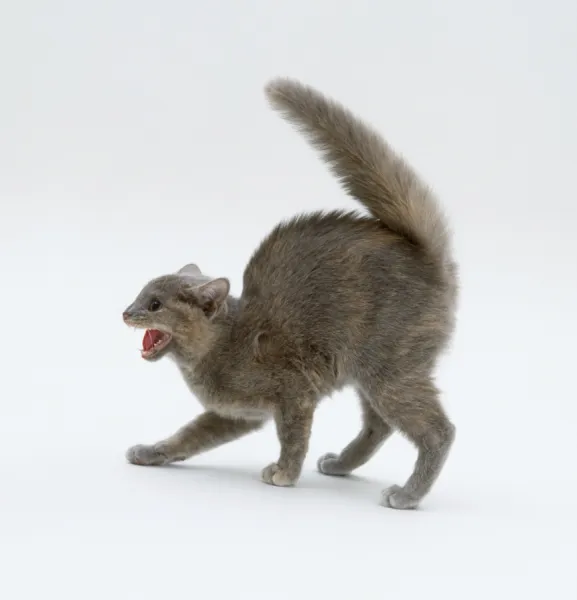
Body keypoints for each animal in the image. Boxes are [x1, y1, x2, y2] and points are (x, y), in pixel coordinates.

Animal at [124, 77, 456, 508]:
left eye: (154, 304)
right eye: (138, 296)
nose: (125, 312)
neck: (216, 349)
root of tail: (427, 256)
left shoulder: (294, 392)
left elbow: (293, 436)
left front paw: (284, 473)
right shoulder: (233, 413)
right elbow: (188, 435)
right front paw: (151, 452)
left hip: (391, 369)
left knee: (438, 430)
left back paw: (407, 494)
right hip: (370, 371)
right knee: (379, 425)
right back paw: (341, 465)